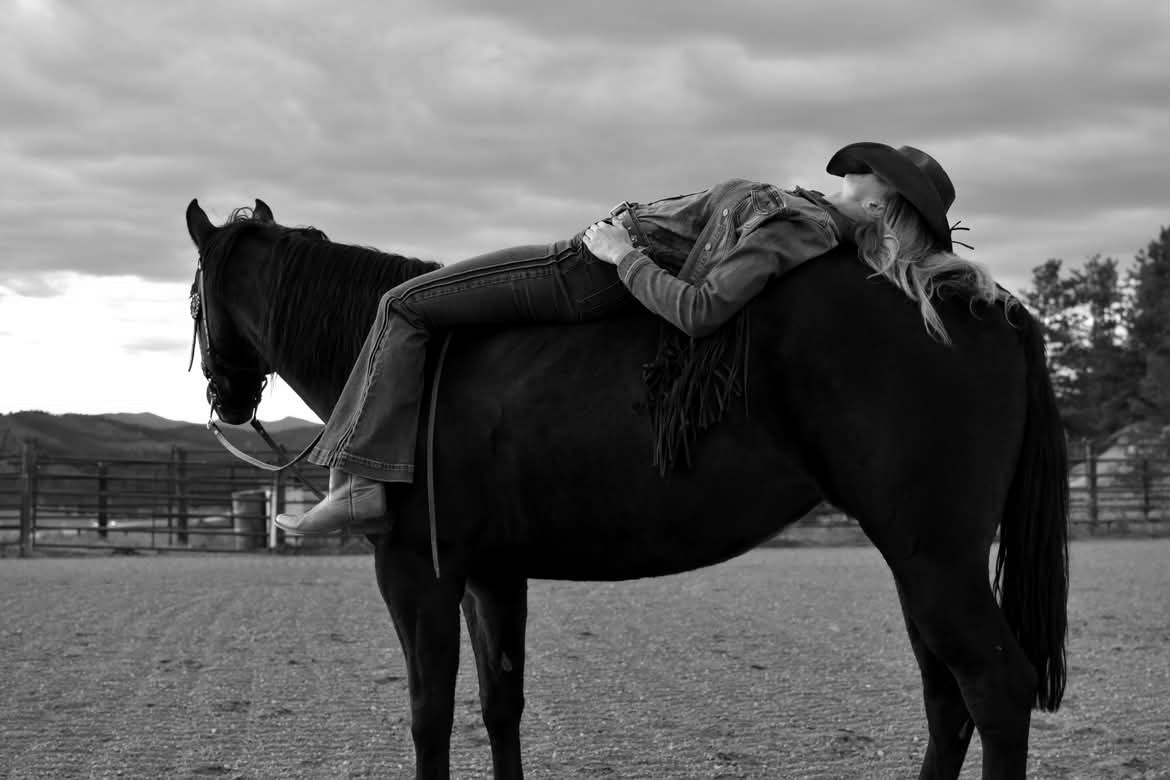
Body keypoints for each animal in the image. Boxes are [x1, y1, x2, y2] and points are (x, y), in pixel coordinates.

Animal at [185, 198, 1068, 780]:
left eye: (193, 295)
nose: (224, 401)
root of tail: (972, 295)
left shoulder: (414, 572)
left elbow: (429, 716)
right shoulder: (490, 575)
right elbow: (500, 704)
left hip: (935, 558)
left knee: (994, 688)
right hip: (920, 560)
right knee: (948, 699)